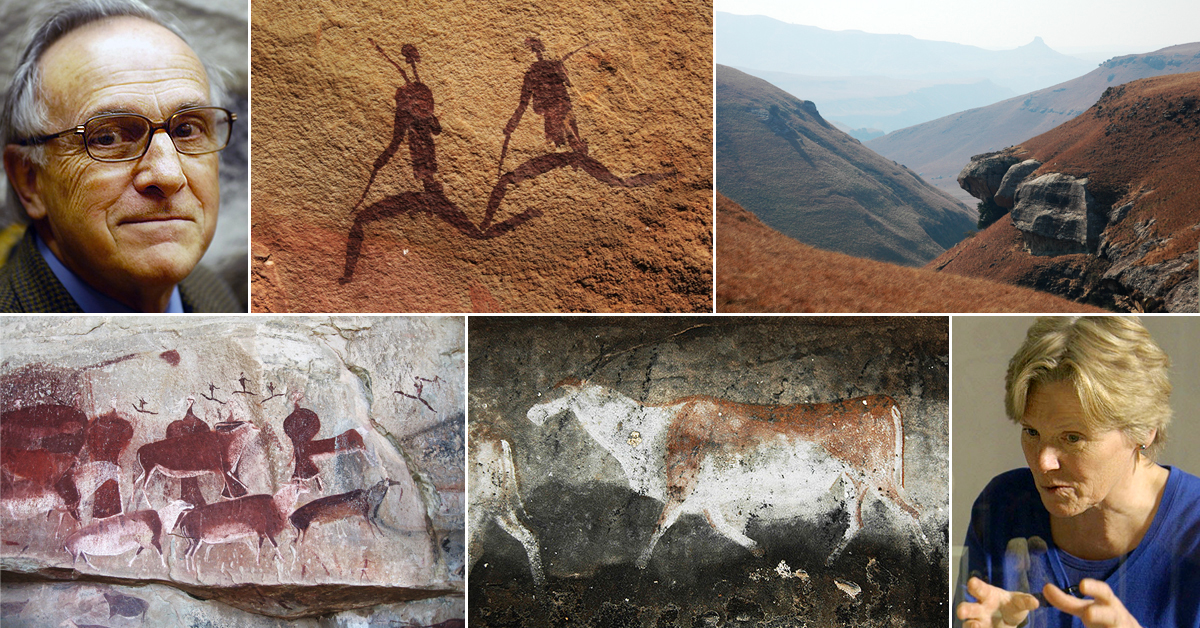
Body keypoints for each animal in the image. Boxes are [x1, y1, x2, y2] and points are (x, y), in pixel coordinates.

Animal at [60, 501, 190, 569]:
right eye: (182, 503)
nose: (192, 505)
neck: (162, 519)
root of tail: (66, 542)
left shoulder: (144, 543)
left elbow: (137, 553)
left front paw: (129, 563)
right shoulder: (154, 540)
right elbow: (161, 552)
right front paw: (163, 565)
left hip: (79, 551)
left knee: (84, 559)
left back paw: (93, 567)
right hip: (75, 551)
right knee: (74, 562)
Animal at [528, 379, 926, 569]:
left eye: (554, 393)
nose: (531, 413)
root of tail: (885, 400)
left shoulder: (681, 487)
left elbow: (659, 526)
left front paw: (638, 567)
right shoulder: (707, 494)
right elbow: (720, 525)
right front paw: (757, 550)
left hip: (878, 474)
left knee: (913, 512)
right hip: (854, 481)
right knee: (858, 522)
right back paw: (829, 561)